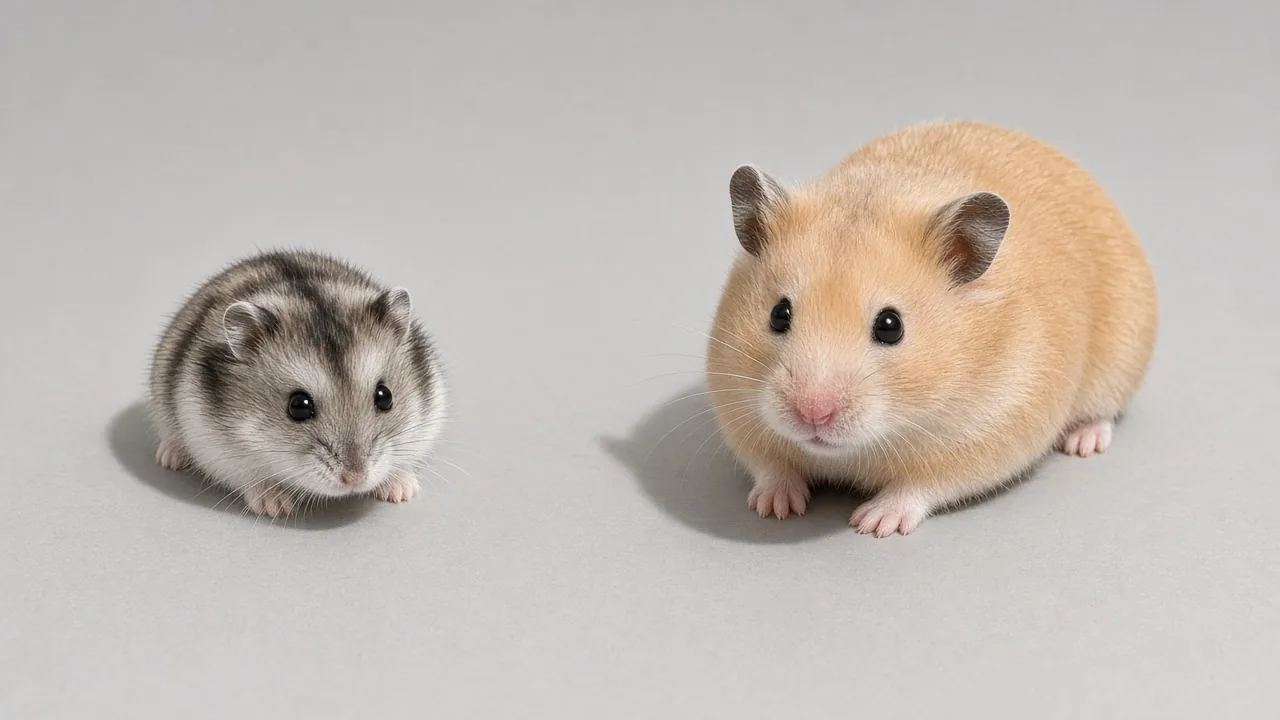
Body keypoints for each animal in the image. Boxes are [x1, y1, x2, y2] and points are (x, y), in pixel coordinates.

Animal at [148, 250, 448, 517]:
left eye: (385, 397)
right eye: (298, 407)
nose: (356, 479)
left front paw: (402, 491)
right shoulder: (216, 448)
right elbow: (253, 478)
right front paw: (276, 507)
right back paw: (170, 458)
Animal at [707, 120, 1157, 537]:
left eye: (891, 326)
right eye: (779, 314)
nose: (812, 414)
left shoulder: (987, 429)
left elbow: (919, 486)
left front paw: (873, 523)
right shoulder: (736, 406)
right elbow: (771, 465)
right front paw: (774, 508)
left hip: (1119, 361)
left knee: (1102, 413)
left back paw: (1083, 443)